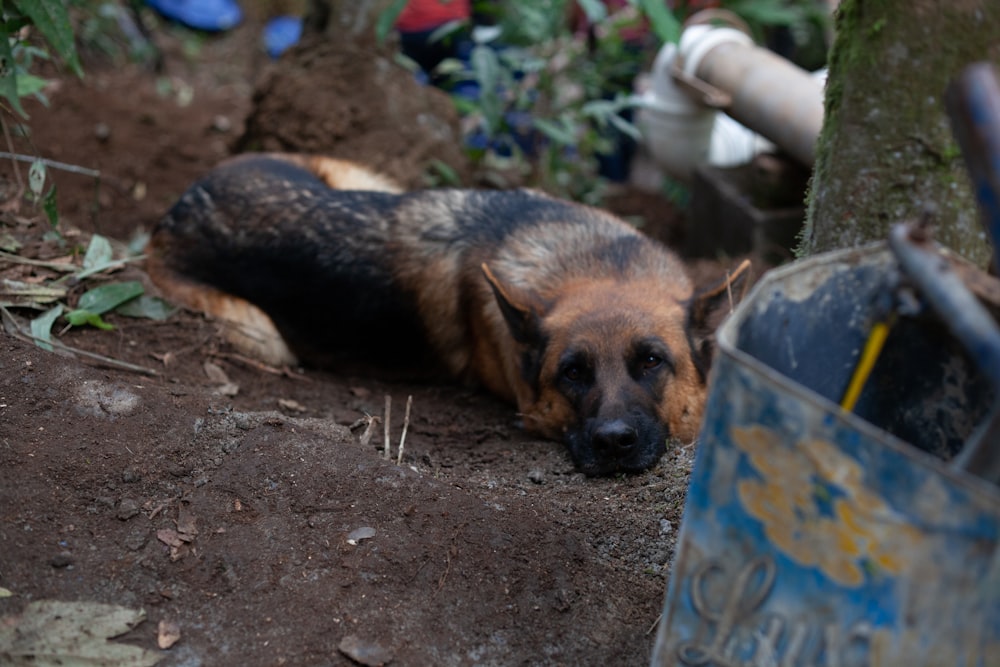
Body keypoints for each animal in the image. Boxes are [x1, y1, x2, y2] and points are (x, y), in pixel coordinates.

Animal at [145, 153, 748, 474]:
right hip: (262, 335)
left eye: (652, 362)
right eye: (572, 373)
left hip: (370, 181)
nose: (614, 441)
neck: (596, 262)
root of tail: (175, 208)